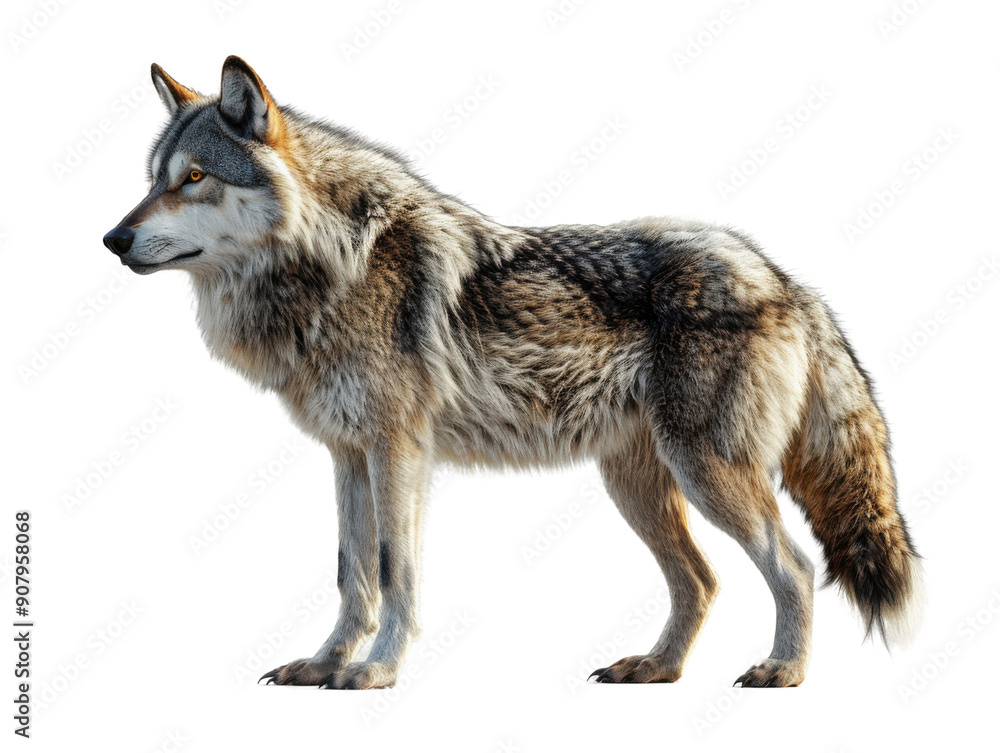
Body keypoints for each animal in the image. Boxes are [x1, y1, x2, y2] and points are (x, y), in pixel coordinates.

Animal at [103, 56, 922, 689]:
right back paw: (655, 669)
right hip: (639, 485)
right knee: (702, 580)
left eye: (195, 177)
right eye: (153, 180)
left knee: (795, 566)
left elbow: (395, 571)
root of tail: (785, 279)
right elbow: (351, 574)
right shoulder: (348, 455)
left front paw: (376, 671)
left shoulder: (398, 451)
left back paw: (783, 671)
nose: (112, 238)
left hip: (708, 473)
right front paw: (326, 664)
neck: (331, 266)